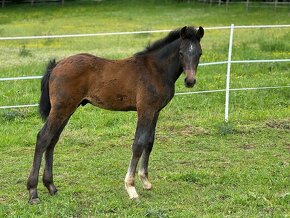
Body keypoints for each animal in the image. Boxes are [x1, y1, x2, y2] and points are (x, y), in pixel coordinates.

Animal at [26, 26, 204, 204]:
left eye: (200, 53)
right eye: (181, 53)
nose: (190, 81)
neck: (155, 70)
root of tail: (56, 65)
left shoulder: (156, 111)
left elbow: (149, 142)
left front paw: (145, 181)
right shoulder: (145, 110)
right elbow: (138, 144)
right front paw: (131, 188)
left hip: (67, 109)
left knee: (53, 140)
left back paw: (51, 186)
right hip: (61, 108)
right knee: (43, 137)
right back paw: (33, 192)